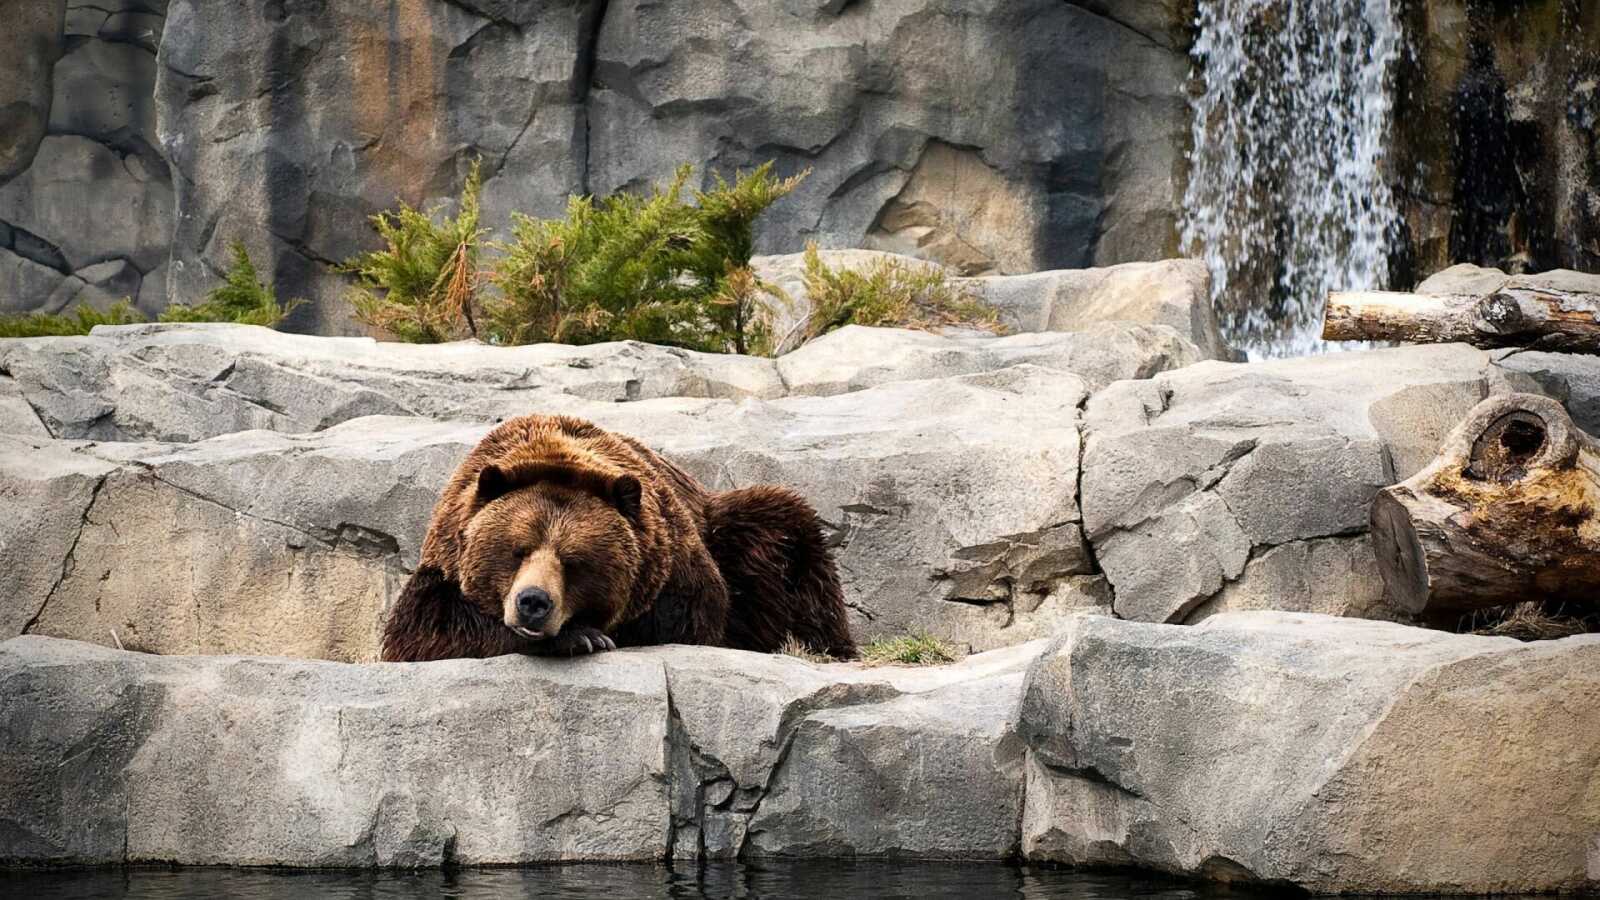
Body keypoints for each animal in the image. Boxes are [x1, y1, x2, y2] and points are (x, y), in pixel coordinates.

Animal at [380, 414, 857, 661]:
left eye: (573, 561)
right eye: (517, 550)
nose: (533, 602)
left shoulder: (674, 565)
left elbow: (689, 617)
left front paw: (588, 634)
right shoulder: (444, 559)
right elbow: (424, 629)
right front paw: (580, 637)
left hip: (732, 528)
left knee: (786, 534)